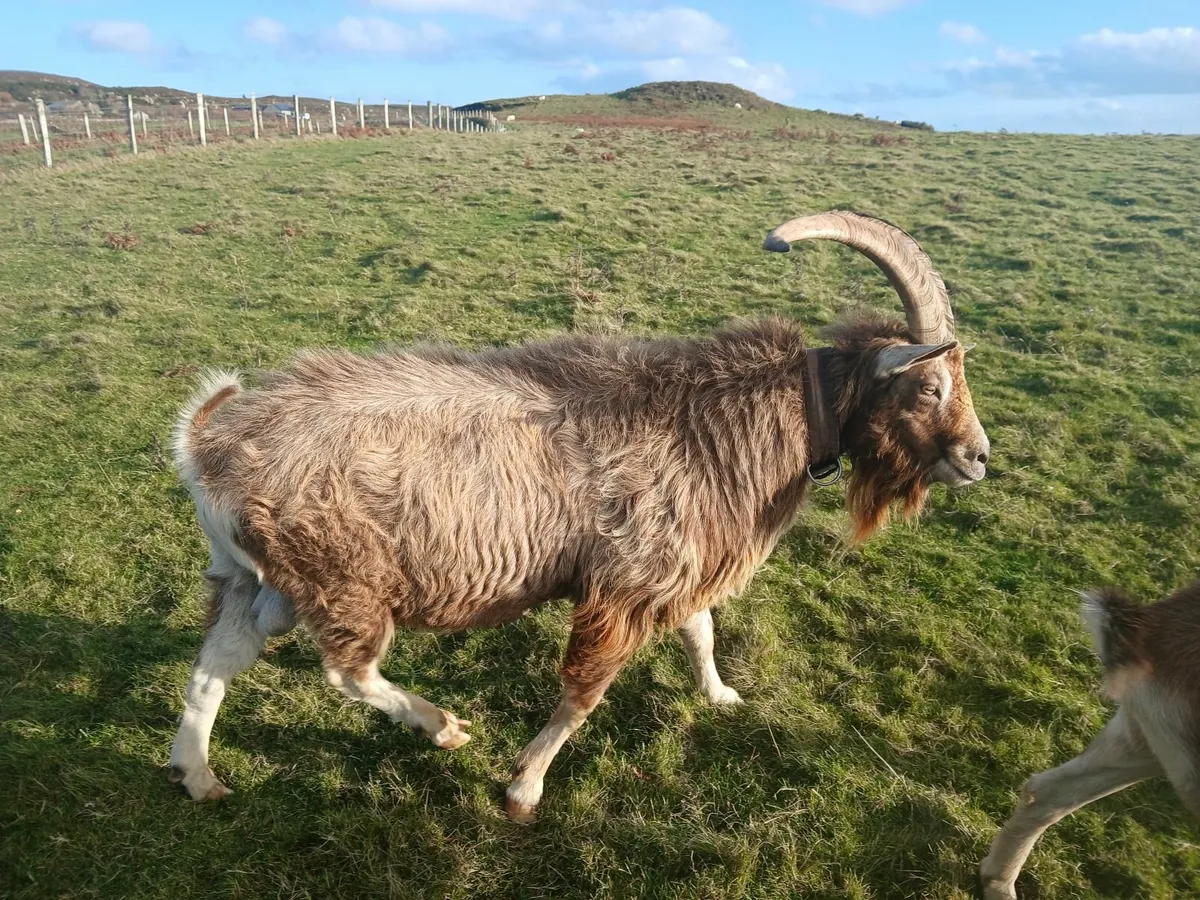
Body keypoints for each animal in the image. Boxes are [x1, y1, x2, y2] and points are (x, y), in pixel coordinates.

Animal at [167, 211, 990, 821]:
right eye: (928, 388)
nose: (978, 457)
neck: (720, 419)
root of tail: (206, 446)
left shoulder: (676, 566)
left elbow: (700, 630)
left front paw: (721, 695)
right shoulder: (620, 589)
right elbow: (584, 691)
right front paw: (523, 788)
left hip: (252, 578)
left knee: (217, 664)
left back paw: (197, 773)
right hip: (343, 581)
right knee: (348, 671)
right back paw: (440, 726)